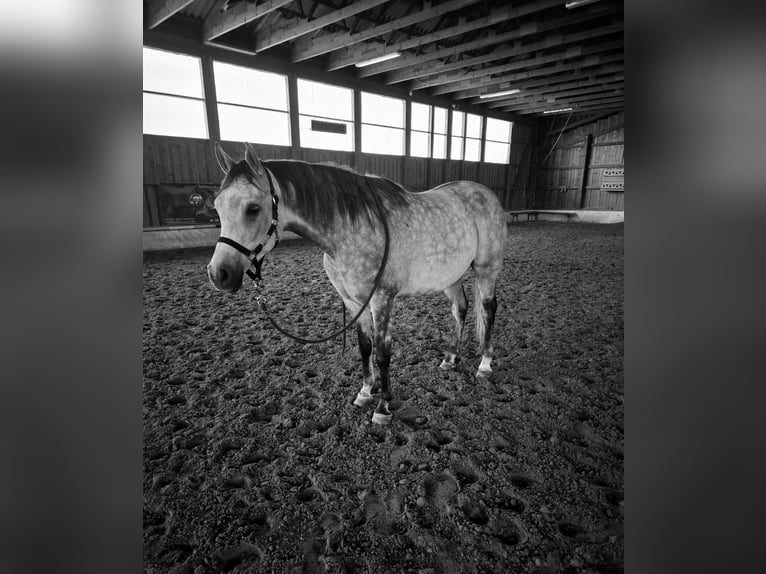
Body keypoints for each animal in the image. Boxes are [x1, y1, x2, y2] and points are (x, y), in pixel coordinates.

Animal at [207, 142, 506, 425]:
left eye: (253, 208)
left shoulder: (382, 300)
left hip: (486, 269)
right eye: (218, 206)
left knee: (488, 309)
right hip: (449, 276)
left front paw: (383, 408)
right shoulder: (352, 302)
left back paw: (484, 364)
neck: (351, 231)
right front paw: (364, 393)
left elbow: (383, 353)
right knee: (460, 308)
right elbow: (365, 348)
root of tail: (485, 193)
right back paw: (449, 358)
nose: (219, 273)